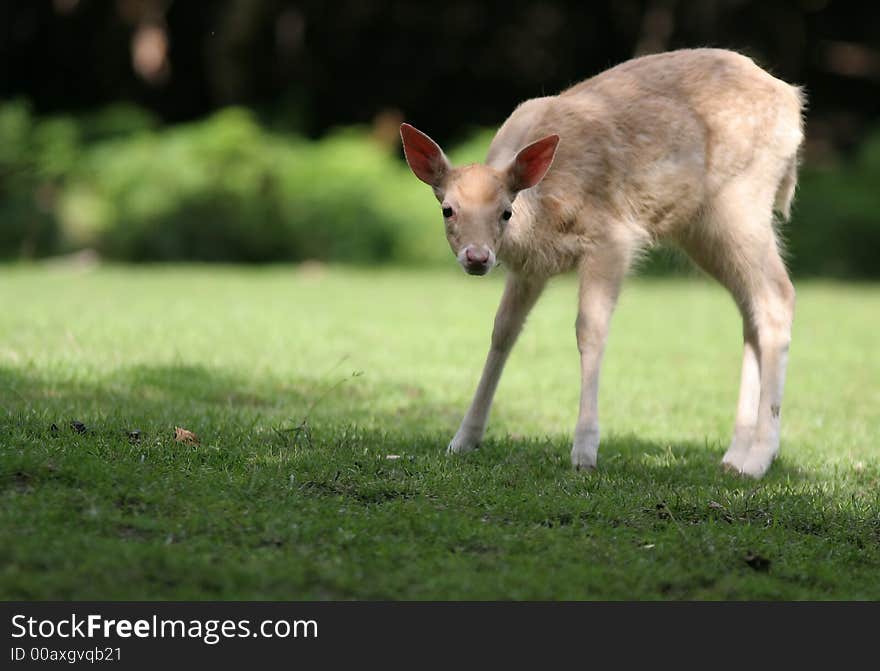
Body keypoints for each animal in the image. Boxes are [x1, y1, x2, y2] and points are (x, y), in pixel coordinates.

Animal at [402, 48, 800, 478]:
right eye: (448, 209)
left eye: (506, 211)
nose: (477, 257)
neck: (542, 213)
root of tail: (794, 103)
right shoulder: (529, 268)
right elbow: (503, 332)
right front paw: (463, 439)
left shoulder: (611, 238)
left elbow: (589, 330)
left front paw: (585, 452)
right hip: (702, 230)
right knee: (750, 309)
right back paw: (735, 455)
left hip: (743, 201)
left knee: (778, 297)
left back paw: (759, 458)